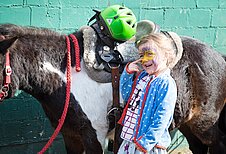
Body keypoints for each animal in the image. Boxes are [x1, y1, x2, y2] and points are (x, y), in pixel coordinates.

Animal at [0, 23, 226, 154]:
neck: (66, 75)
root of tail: (219, 57)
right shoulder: (70, 136)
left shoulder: (94, 137)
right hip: (188, 123)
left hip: (205, 124)